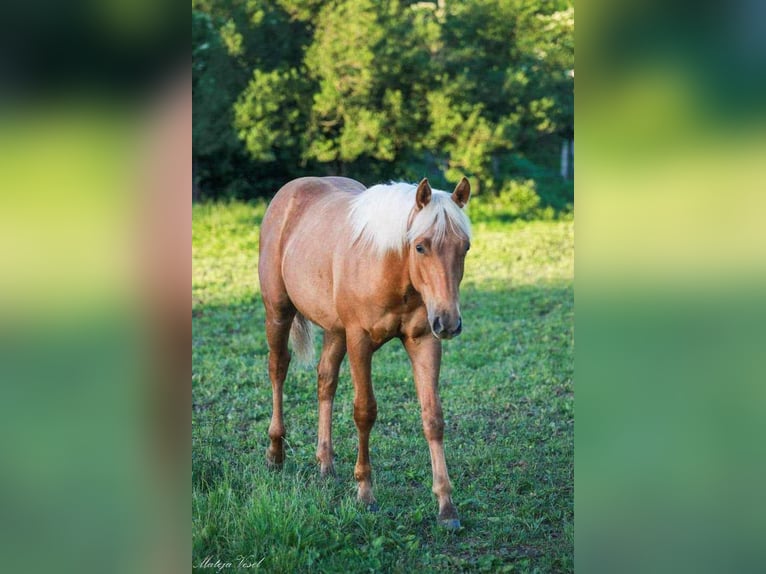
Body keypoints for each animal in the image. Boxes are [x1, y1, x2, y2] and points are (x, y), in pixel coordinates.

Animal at [260, 177, 474, 532]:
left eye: (465, 247)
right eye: (420, 246)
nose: (449, 322)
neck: (389, 268)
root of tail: (289, 192)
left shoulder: (423, 340)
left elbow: (433, 418)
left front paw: (446, 506)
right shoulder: (359, 340)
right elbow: (365, 412)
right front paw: (365, 492)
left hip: (335, 330)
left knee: (325, 380)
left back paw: (325, 463)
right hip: (278, 313)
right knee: (278, 370)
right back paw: (275, 454)